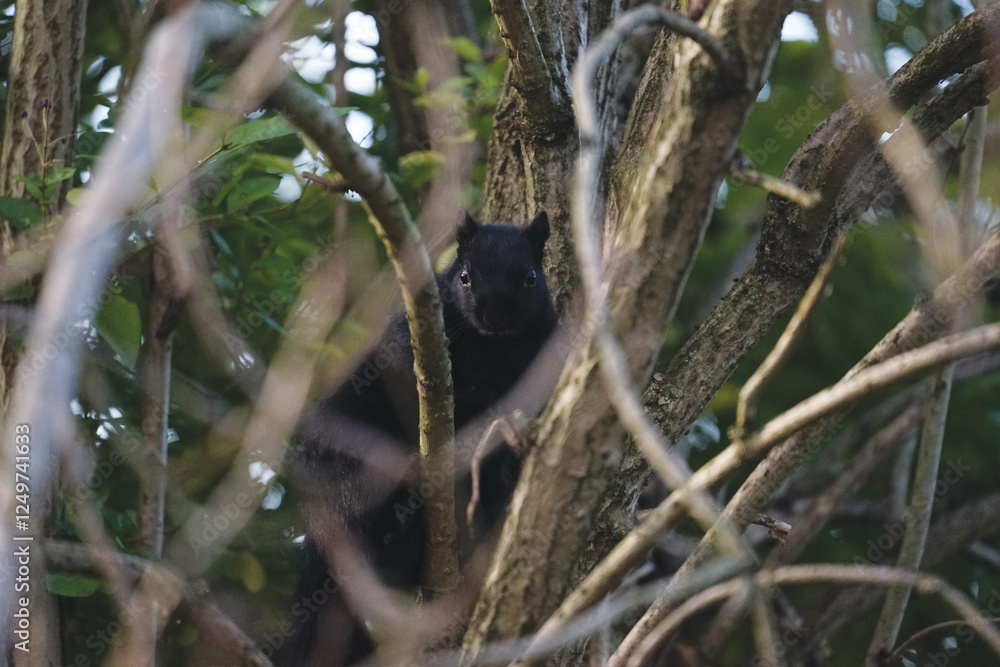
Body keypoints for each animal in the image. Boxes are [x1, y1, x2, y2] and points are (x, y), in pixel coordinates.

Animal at [285, 211, 558, 666]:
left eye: (531, 278)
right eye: (464, 276)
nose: (494, 314)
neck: (491, 348)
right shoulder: (404, 347)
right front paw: (482, 402)